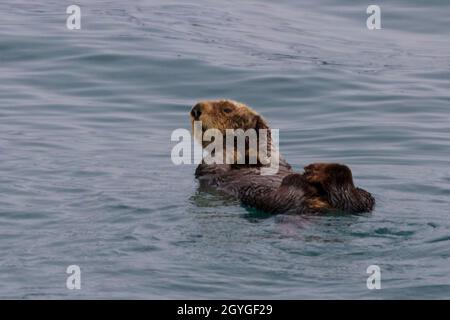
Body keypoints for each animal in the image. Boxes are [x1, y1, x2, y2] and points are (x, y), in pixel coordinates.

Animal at [188, 99, 374, 215]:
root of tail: (326, 205)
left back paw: (316, 171)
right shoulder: (208, 168)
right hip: (269, 199)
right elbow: (217, 160)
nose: (196, 110)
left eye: (227, 109)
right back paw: (311, 173)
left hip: (363, 197)